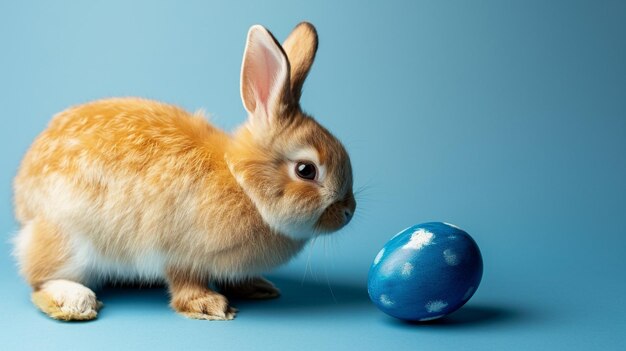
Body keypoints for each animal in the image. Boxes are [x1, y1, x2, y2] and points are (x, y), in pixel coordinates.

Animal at [13, 22, 356, 322]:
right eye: (306, 170)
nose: (348, 212)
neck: (243, 185)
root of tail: (23, 196)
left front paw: (256, 287)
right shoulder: (180, 252)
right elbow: (185, 282)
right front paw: (209, 306)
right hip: (70, 240)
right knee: (39, 280)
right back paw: (74, 301)